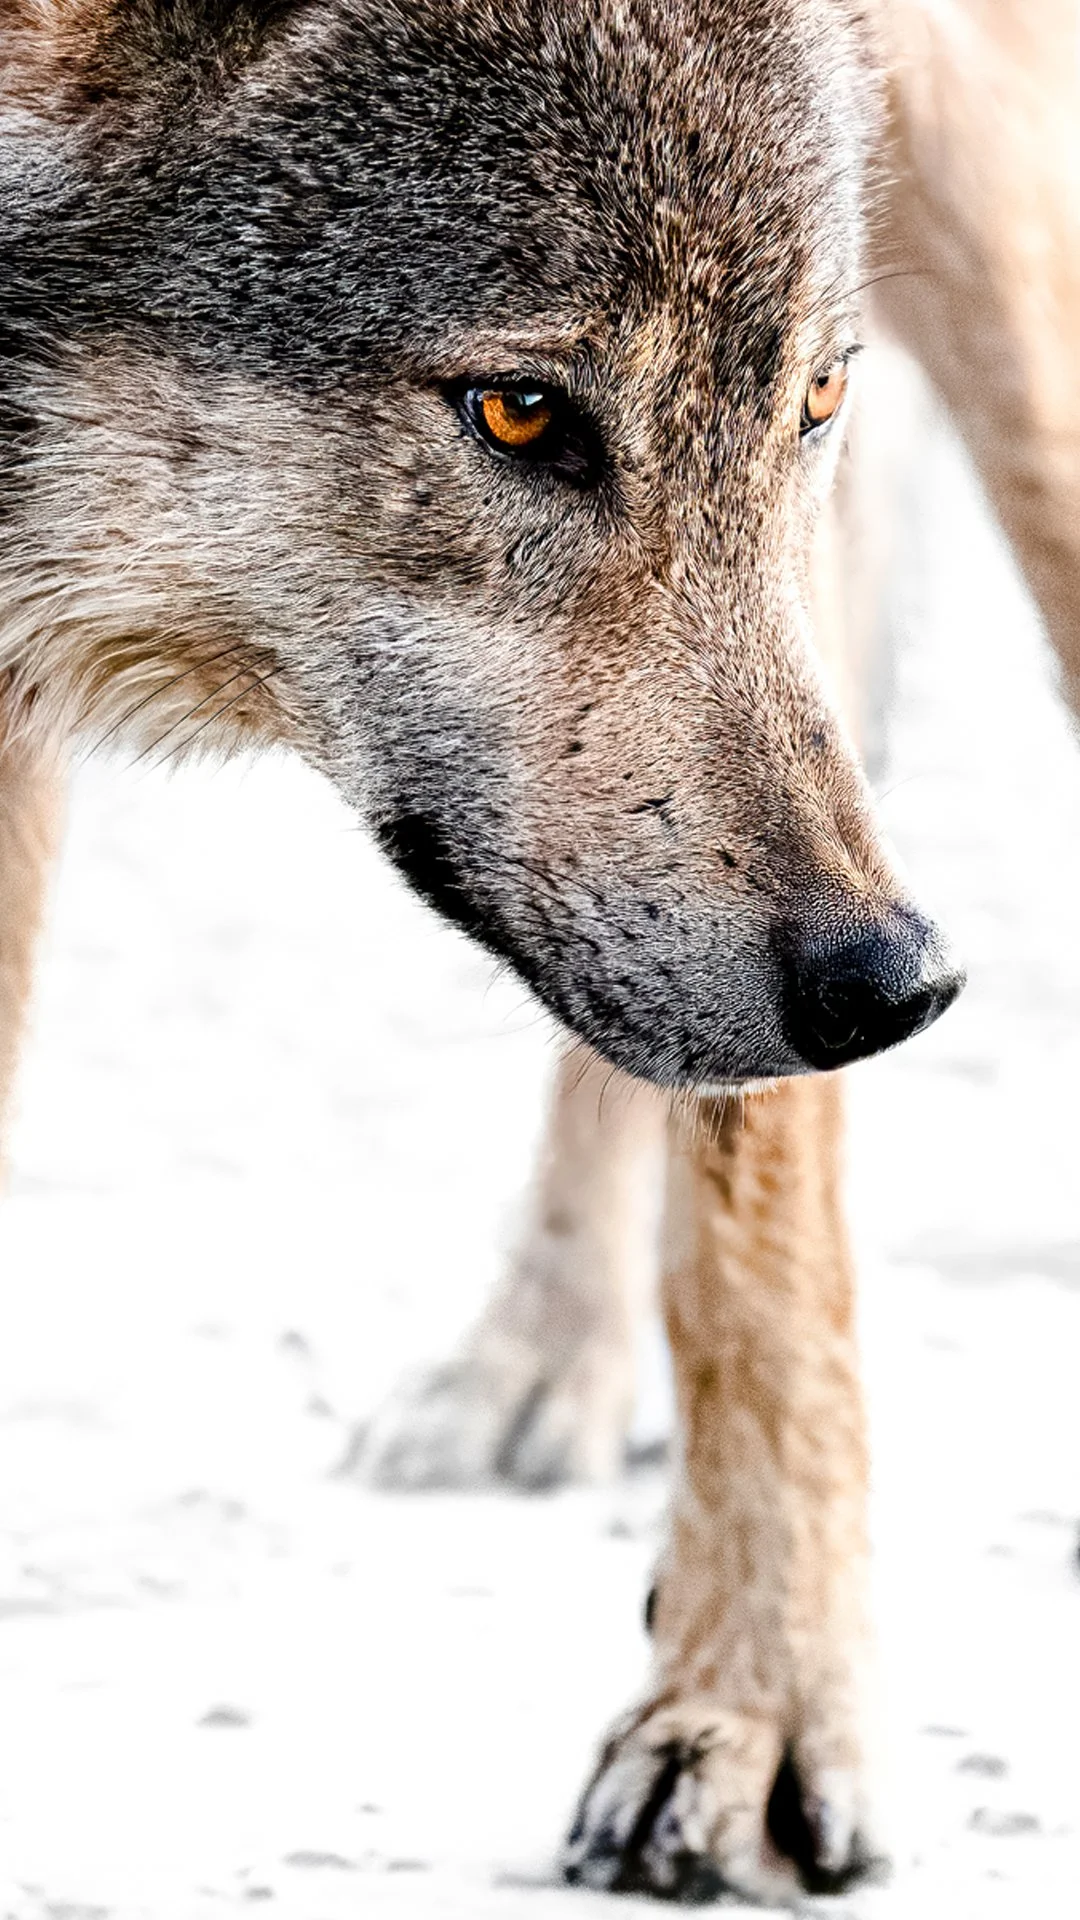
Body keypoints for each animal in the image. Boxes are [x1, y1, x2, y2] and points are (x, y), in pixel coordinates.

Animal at [1, 0, 1076, 1901]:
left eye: (814, 396)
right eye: (521, 412)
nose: (897, 989)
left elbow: (768, 1204)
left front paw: (754, 1708)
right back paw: (541, 1359)